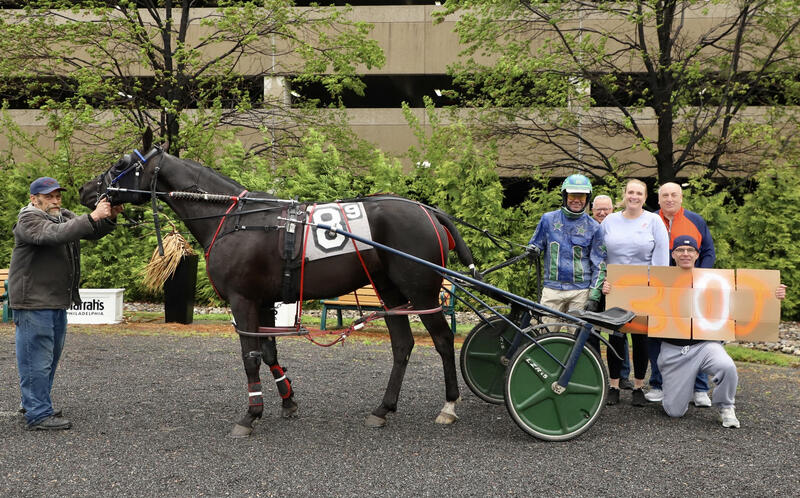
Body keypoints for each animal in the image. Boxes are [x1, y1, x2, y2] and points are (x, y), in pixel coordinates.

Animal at [81, 140, 476, 436]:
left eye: (121, 163)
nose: (87, 190)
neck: (235, 219)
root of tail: (427, 210)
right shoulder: (265, 300)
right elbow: (270, 353)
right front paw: (287, 400)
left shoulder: (242, 300)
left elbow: (251, 357)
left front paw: (251, 413)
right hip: (388, 289)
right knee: (403, 345)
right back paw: (383, 408)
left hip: (421, 291)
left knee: (442, 340)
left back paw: (449, 405)